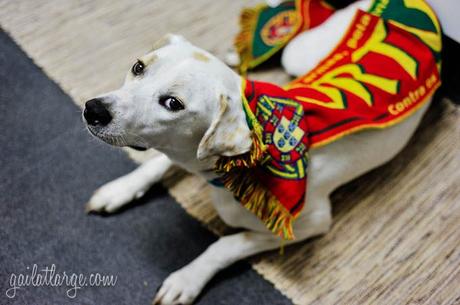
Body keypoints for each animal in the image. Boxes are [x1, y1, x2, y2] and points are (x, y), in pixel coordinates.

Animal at [82, 1, 442, 302]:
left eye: (173, 104)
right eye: (138, 67)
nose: (93, 110)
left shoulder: (309, 222)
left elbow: (225, 244)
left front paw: (187, 279)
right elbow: (155, 163)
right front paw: (121, 189)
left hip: (299, 52)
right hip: (299, 53)